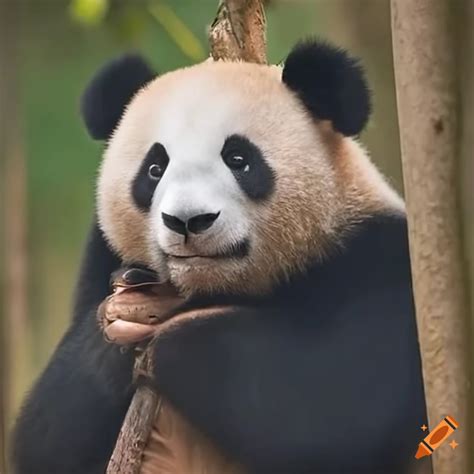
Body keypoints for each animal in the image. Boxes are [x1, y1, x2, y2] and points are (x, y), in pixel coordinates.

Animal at [11, 40, 428, 474]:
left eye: (238, 159)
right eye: (155, 168)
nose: (187, 221)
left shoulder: (376, 261)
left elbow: (334, 406)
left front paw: (165, 322)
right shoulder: (99, 257)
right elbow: (46, 435)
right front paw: (128, 312)